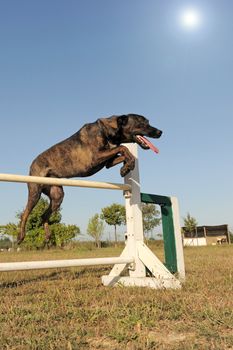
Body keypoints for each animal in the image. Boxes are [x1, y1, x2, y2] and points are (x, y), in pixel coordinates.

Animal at [18, 114, 162, 243]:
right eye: (142, 123)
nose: (160, 132)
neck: (108, 130)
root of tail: (31, 165)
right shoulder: (95, 158)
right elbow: (123, 148)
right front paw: (129, 165)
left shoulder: (107, 162)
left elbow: (122, 152)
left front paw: (125, 168)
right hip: (35, 192)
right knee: (25, 214)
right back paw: (20, 236)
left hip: (57, 196)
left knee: (43, 216)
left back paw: (47, 236)